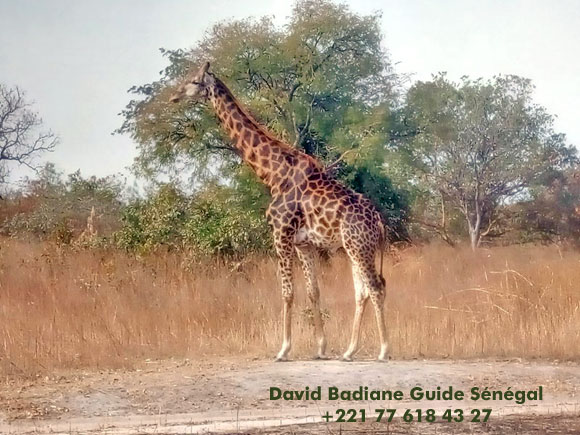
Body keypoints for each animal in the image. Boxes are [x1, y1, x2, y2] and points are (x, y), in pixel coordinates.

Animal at [171, 61, 390, 362]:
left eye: (194, 80)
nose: (174, 96)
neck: (273, 174)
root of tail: (378, 221)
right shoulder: (303, 243)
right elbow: (313, 291)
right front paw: (321, 348)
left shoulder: (280, 234)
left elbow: (287, 292)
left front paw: (284, 349)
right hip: (354, 247)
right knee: (363, 291)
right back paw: (348, 351)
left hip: (359, 246)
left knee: (376, 287)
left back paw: (383, 350)